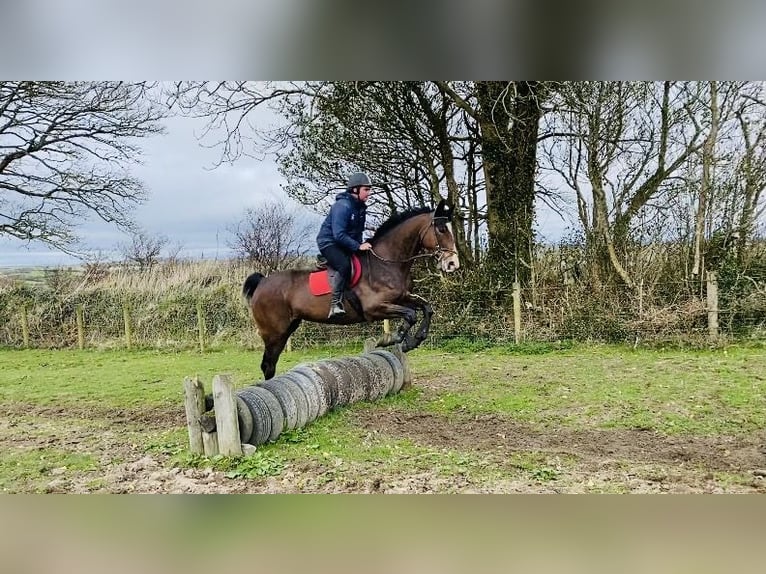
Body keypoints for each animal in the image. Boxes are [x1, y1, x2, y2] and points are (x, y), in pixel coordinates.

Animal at [242, 199, 460, 380]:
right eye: (441, 229)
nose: (452, 264)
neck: (386, 263)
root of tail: (262, 282)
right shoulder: (374, 309)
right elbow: (410, 314)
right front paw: (394, 339)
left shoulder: (402, 297)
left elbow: (426, 308)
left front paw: (414, 340)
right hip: (273, 332)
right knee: (268, 364)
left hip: (288, 327)